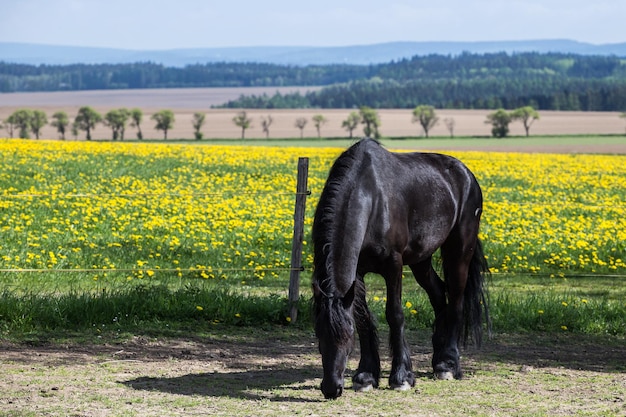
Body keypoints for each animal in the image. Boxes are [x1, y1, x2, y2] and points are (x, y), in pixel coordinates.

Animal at [312, 138, 488, 398]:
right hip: (421, 260)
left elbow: (394, 315)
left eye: (348, 336)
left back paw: (449, 365)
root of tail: (465, 173)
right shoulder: (358, 272)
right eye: (318, 334)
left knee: (456, 301)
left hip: (459, 251)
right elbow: (364, 318)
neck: (371, 197)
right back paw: (438, 359)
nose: (332, 388)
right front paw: (366, 375)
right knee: (439, 295)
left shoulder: (393, 266)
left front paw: (402, 376)